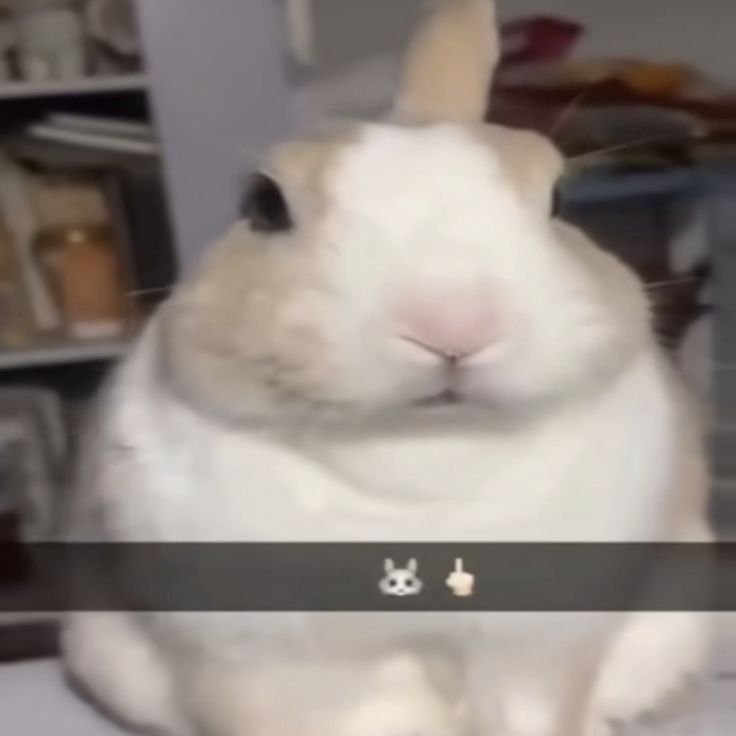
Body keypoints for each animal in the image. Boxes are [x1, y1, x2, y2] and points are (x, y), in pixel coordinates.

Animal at [60, 2, 714, 736]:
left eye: (559, 203)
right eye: (264, 204)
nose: (453, 321)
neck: (421, 460)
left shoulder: (541, 657)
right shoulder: (259, 668)